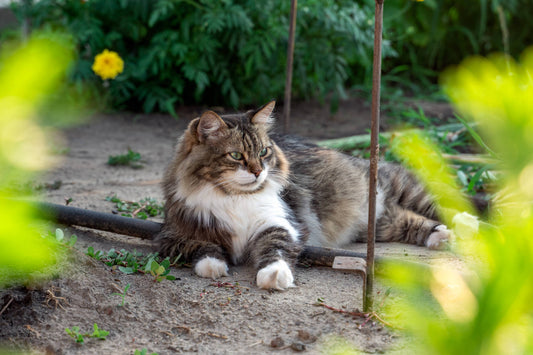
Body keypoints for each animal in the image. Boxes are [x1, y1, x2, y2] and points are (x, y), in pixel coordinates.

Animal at [157, 101, 448, 290]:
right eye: (236, 155)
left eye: (263, 152)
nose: (258, 172)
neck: (235, 197)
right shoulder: (174, 234)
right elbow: (201, 246)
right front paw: (214, 266)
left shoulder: (279, 223)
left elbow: (275, 248)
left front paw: (274, 276)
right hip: (379, 224)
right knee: (410, 221)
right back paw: (440, 237)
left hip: (400, 194)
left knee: (438, 208)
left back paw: (453, 232)